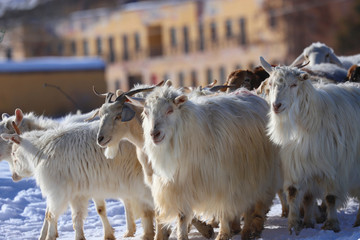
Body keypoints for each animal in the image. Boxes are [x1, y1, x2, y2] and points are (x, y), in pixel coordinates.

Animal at [1, 120, 156, 240]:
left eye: (13, 152)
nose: (14, 176)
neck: (42, 150)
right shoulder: (79, 192)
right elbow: (78, 216)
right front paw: (82, 236)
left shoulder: (58, 191)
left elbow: (51, 215)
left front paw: (50, 236)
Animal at [136, 81, 282, 240]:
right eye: (146, 113)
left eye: (170, 111)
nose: (154, 134)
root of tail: (249, 93)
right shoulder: (180, 185)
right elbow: (182, 216)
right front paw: (183, 235)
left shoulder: (225, 182)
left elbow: (224, 210)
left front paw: (223, 234)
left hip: (257, 175)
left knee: (252, 204)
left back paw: (249, 230)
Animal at [260, 57, 360, 235]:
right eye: (270, 84)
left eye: (293, 85)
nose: (276, 105)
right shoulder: (298, 164)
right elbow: (297, 195)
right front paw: (297, 224)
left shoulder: (333, 167)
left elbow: (330, 198)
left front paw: (331, 224)